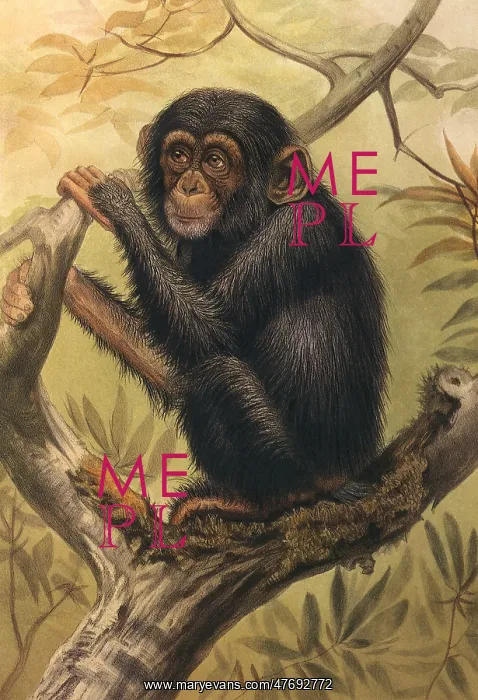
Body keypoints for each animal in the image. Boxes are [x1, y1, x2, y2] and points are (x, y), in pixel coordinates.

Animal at [1, 88, 388, 523]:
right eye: (179, 155)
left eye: (216, 161)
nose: (188, 185)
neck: (251, 220)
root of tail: (354, 473)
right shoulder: (190, 249)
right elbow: (173, 359)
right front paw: (21, 289)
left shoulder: (297, 230)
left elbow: (210, 330)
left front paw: (114, 203)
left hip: (304, 468)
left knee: (219, 377)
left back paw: (258, 498)